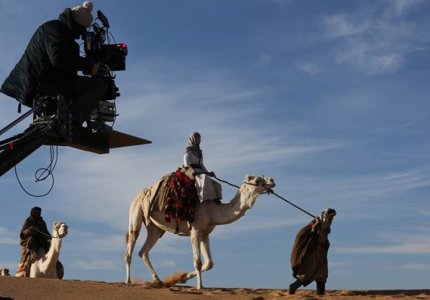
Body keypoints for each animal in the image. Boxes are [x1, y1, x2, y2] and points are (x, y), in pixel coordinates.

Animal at [124, 172, 276, 290]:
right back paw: (128, 281)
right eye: (256, 180)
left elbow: (209, 263)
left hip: (155, 228)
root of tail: (139, 195)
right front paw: (199, 287)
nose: (272, 181)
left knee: (143, 251)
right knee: (130, 246)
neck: (213, 211)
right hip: (135, 213)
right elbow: (198, 262)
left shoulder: (205, 233)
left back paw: (158, 280)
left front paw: (182, 278)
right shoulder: (195, 231)